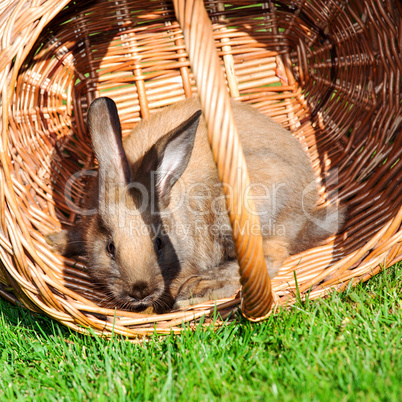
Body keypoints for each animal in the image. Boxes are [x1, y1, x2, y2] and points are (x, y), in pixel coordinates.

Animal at [47, 96, 342, 312]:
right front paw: (55, 242)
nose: (140, 291)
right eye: (110, 248)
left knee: (267, 259)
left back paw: (198, 290)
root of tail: (305, 214)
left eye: (159, 243)